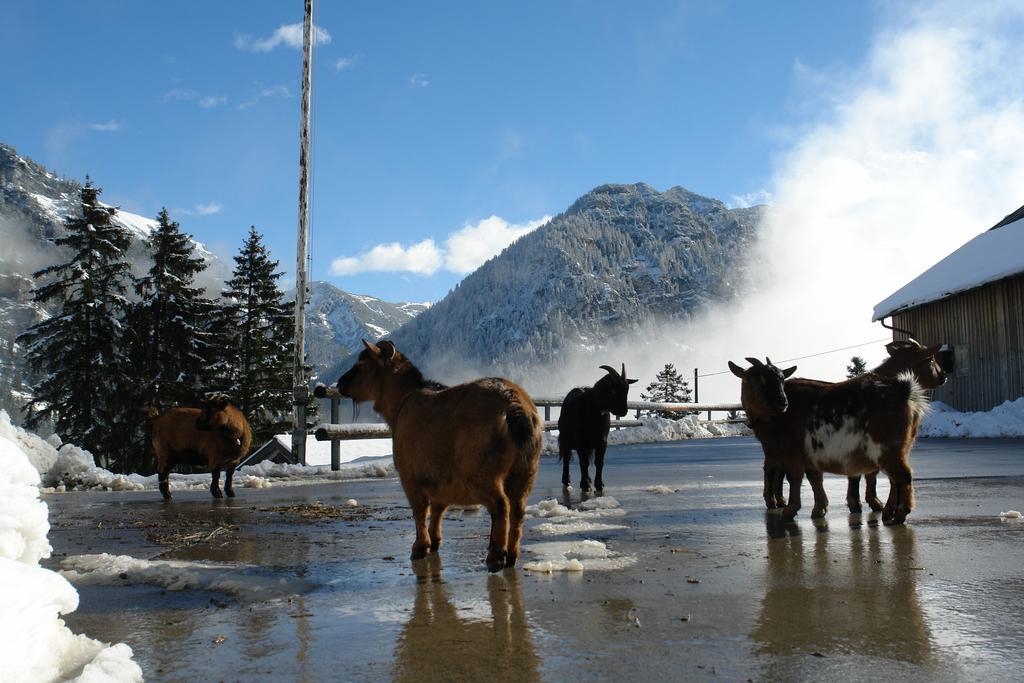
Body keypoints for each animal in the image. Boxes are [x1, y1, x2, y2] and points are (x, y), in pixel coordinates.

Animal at [335, 339, 544, 573]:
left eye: (361, 364)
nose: (340, 382)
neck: (401, 402)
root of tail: (514, 406)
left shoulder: (410, 476)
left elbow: (419, 510)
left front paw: (419, 547)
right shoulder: (440, 480)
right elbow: (438, 509)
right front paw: (434, 541)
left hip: (481, 472)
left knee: (501, 506)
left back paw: (496, 557)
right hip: (526, 470)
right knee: (518, 508)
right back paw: (512, 556)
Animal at [557, 362, 634, 491]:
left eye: (627, 390)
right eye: (613, 390)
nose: (624, 411)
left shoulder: (602, 441)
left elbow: (599, 462)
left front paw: (599, 484)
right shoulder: (581, 441)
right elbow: (583, 462)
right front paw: (585, 485)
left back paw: (588, 479)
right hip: (565, 439)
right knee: (567, 458)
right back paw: (567, 481)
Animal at [729, 360, 929, 528]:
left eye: (781, 379)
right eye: (754, 379)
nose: (782, 401)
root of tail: (904, 390)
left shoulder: (792, 453)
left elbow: (795, 478)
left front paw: (789, 511)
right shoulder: (807, 456)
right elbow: (814, 478)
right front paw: (819, 509)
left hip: (887, 448)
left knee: (903, 476)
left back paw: (900, 515)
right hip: (899, 448)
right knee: (896, 479)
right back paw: (888, 512)